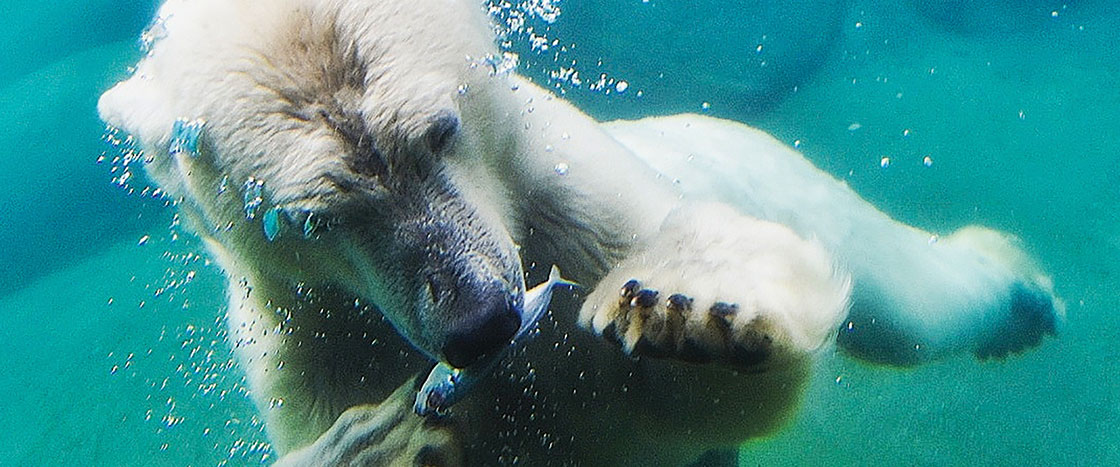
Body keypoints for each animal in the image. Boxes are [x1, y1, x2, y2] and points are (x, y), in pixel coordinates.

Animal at [96, 0, 1057, 461]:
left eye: (440, 130)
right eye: (314, 217)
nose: (481, 320)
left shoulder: (574, 210)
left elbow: (696, 392)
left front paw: (684, 312)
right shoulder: (306, 337)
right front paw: (382, 439)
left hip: (765, 173)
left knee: (908, 306)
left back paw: (1020, 290)